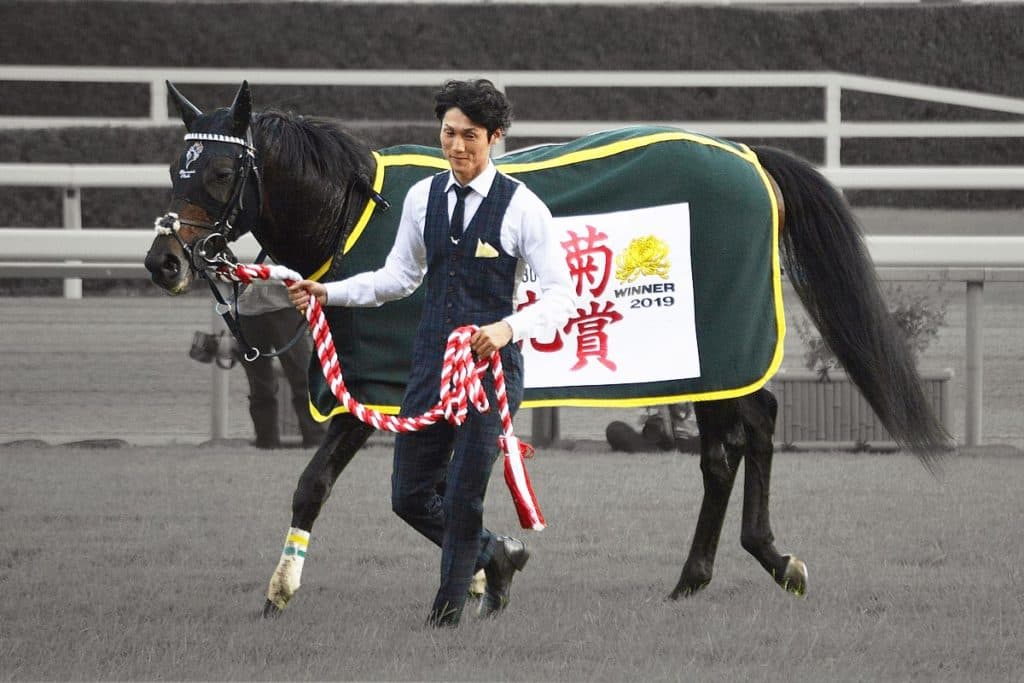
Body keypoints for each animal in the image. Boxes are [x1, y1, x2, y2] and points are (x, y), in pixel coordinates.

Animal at [144, 81, 949, 617]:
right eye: (174, 169)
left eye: (220, 173)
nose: (163, 262)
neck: (353, 216)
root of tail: (746, 153)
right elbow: (430, 496)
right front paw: (485, 567)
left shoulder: (377, 395)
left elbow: (322, 484)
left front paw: (285, 588)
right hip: (705, 362)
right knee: (730, 446)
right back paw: (702, 573)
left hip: (722, 347)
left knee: (752, 429)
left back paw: (769, 560)